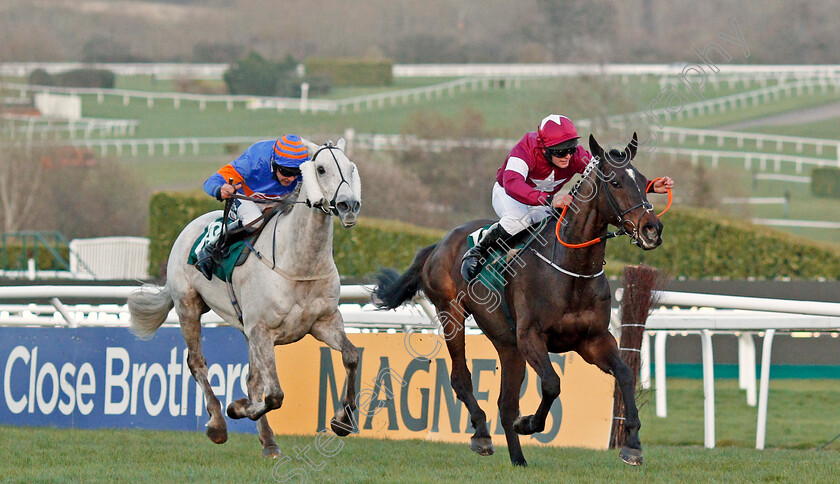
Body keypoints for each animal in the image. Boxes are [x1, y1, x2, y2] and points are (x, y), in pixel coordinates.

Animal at [374, 134, 664, 466]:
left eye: (642, 180)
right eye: (615, 182)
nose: (652, 229)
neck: (571, 269)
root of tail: (439, 244)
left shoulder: (593, 340)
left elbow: (625, 374)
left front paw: (632, 444)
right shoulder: (531, 336)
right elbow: (551, 383)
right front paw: (529, 424)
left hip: (507, 344)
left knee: (505, 402)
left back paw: (518, 459)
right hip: (452, 315)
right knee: (461, 378)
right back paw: (482, 435)